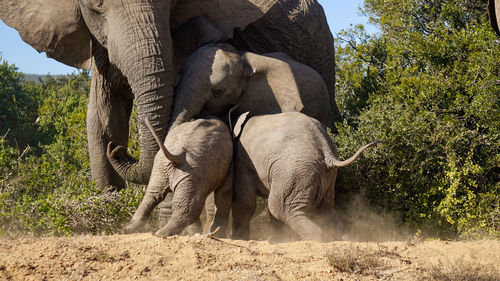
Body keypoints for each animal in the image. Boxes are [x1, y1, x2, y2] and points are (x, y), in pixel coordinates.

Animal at [230, 111, 378, 241]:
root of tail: (327, 153)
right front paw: (279, 238)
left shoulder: (243, 163)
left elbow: (245, 202)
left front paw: (239, 238)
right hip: (325, 177)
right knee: (326, 211)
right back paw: (346, 238)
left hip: (296, 172)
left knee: (280, 207)